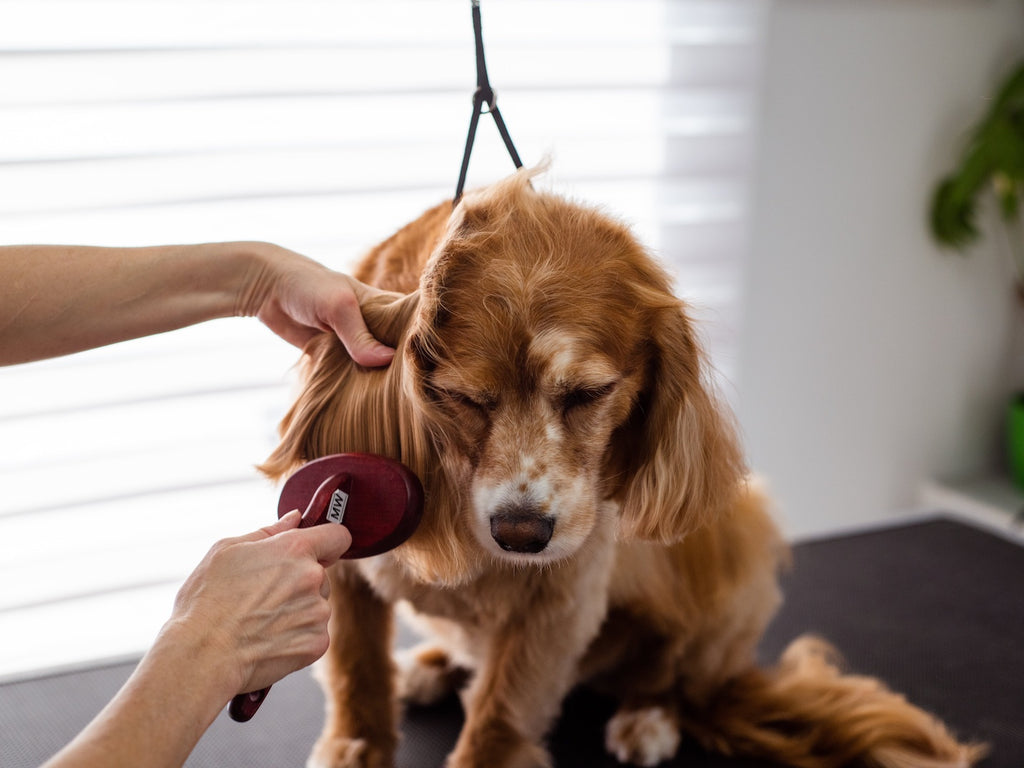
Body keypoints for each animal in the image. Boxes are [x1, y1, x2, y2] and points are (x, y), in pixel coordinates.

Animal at [264, 169, 983, 768]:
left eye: (589, 394)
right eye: (465, 398)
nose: (521, 535)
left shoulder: (559, 600)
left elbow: (500, 715)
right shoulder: (343, 559)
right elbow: (356, 672)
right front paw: (353, 747)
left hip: (738, 546)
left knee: (674, 678)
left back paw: (648, 718)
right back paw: (433, 663)